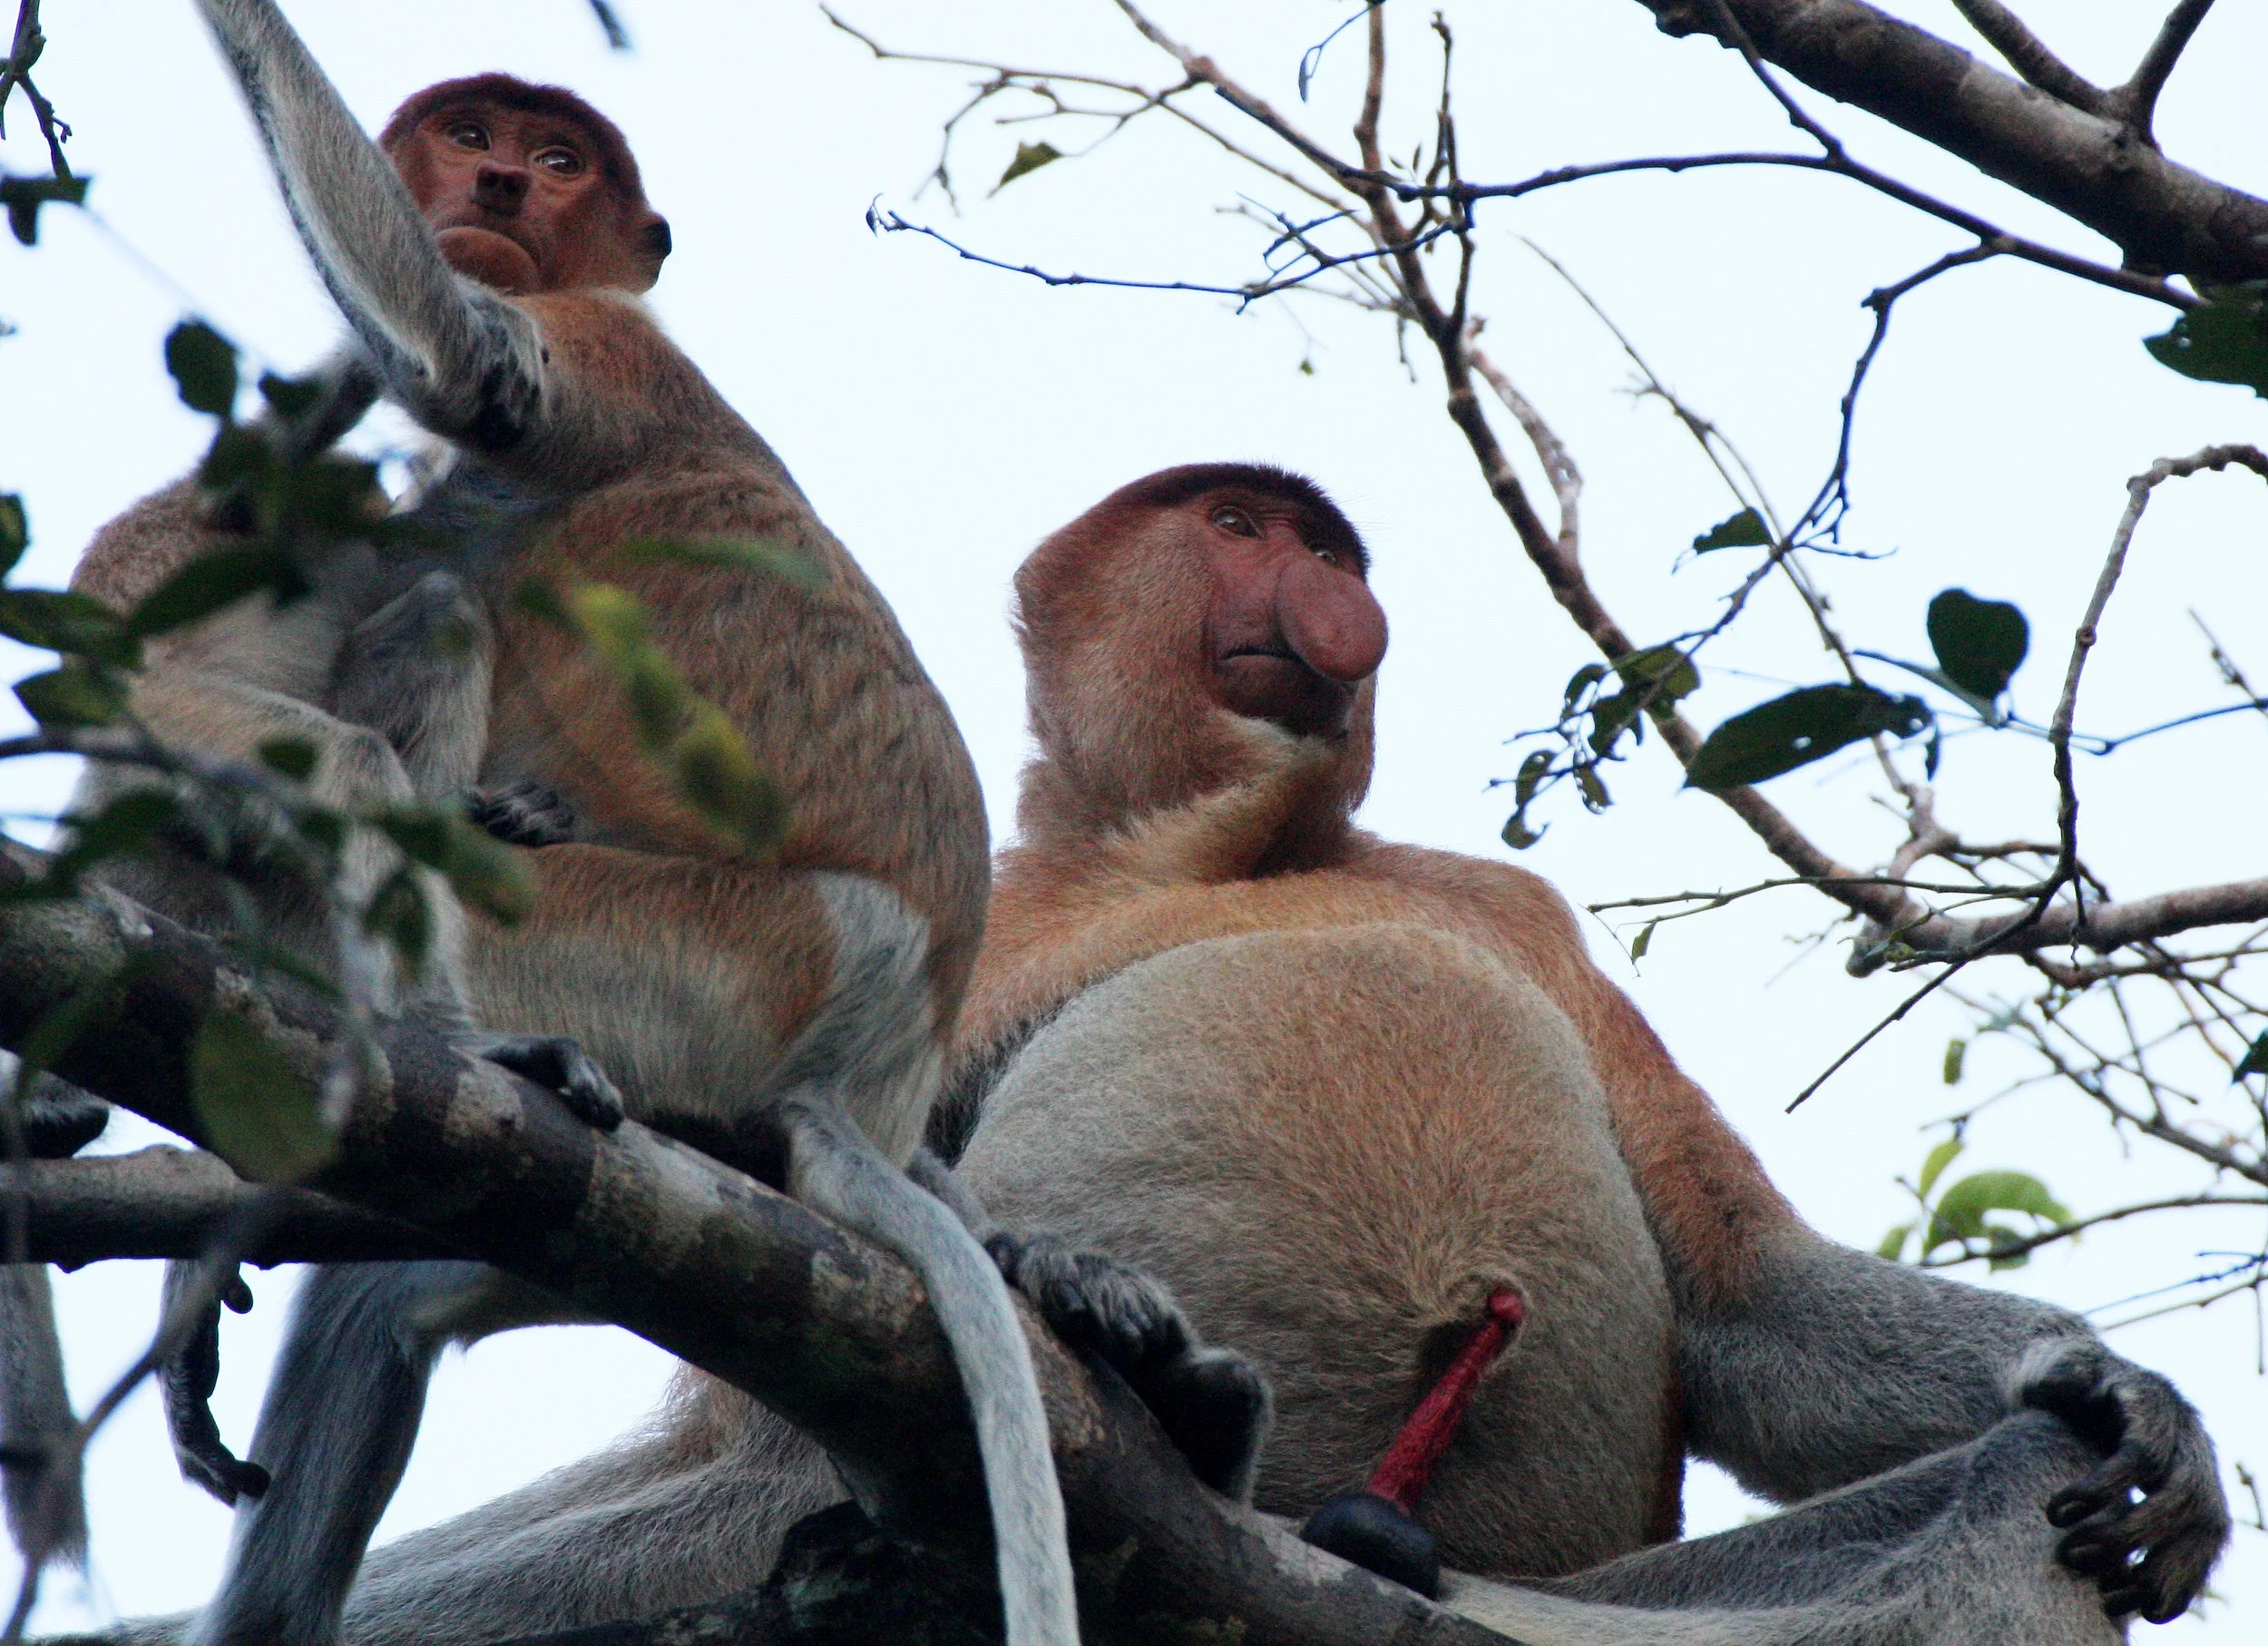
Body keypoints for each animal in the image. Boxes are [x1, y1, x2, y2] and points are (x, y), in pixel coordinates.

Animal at [926, 462, 2230, 1630]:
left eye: (1327, 551)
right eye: (1237, 524)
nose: (1329, 594)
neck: (1223, 851)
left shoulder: (1514, 911)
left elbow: (1742, 1294)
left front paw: (2125, 1393)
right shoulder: (994, 918)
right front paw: (1062, 1270)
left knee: (2032, 1472)